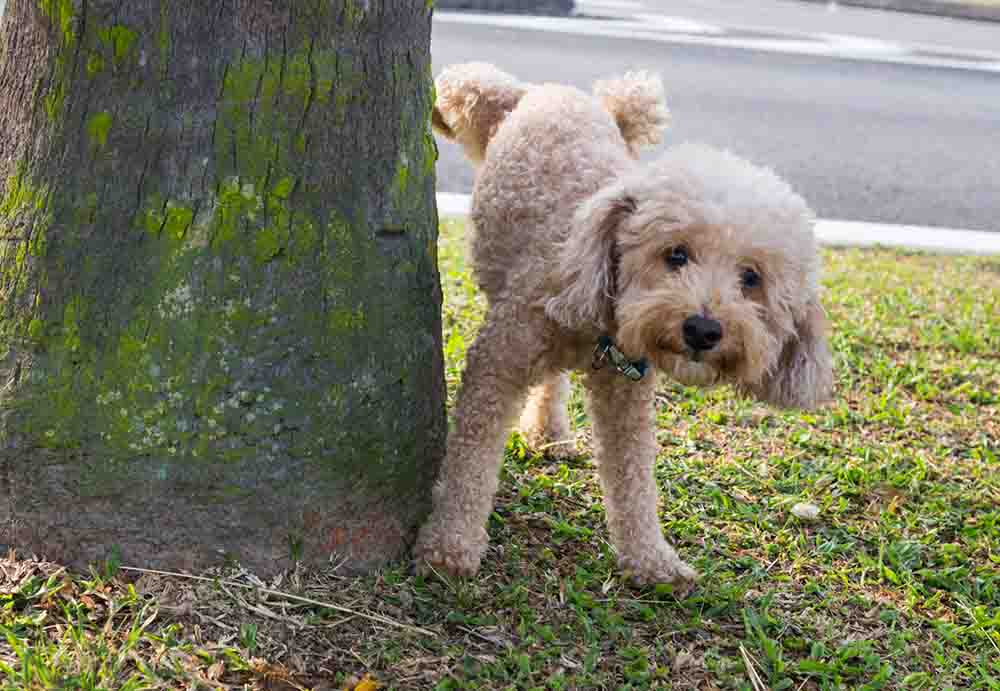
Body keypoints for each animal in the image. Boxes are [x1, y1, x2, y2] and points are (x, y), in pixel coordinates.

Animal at [416, 62, 836, 588]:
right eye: (675, 254)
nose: (703, 330)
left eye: (751, 278)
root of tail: (549, 91)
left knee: (553, 382)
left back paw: (549, 432)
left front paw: (650, 559)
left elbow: (633, 477)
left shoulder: (626, 393)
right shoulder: (498, 362)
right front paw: (450, 544)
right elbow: (471, 458)